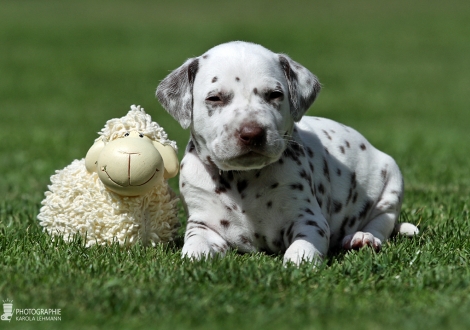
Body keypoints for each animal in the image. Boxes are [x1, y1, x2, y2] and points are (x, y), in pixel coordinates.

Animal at [156, 41, 416, 266]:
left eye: (275, 94)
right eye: (214, 98)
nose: (252, 133)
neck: (243, 178)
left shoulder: (308, 219)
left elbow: (303, 245)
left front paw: (298, 262)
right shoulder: (202, 223)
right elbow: (196, 244)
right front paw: (193, 257)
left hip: (391, 183)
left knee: (382, 223)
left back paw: (363, 238)